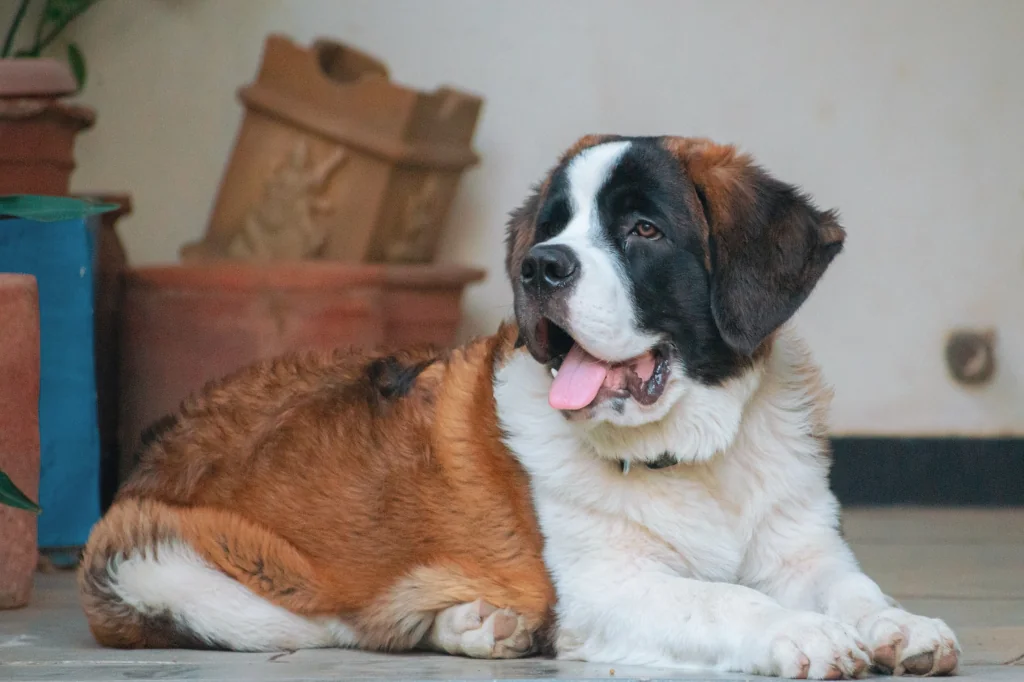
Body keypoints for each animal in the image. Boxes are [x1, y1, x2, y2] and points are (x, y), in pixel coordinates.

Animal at [79, 134, 958, 675]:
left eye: (643, 230)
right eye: (552, 228)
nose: (542, 267)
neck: (697, 452)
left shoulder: (804, 551)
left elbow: (853, 588)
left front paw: (901, 626)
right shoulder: (610, 588)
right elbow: (724, 598)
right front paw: (800, 633)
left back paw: (483, 623)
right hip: (175, 573)